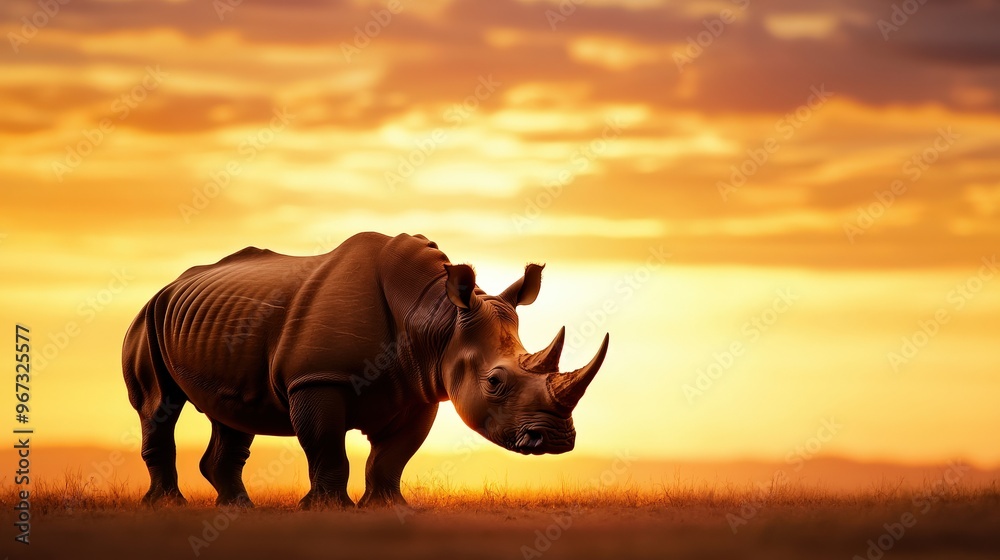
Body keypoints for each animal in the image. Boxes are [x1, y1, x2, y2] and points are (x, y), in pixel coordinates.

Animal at [122, 232, 609, 508]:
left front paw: (387, 507)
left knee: (231, 415)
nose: (557, 440)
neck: (434, 318)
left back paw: (236, 508)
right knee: (158, 405)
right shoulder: (316, 379)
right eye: (495, 381)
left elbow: (392, 456)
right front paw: (327, 509)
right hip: (148, 317)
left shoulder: (420, 388)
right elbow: (326, 446)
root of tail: (171, 284)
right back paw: (168, 506)